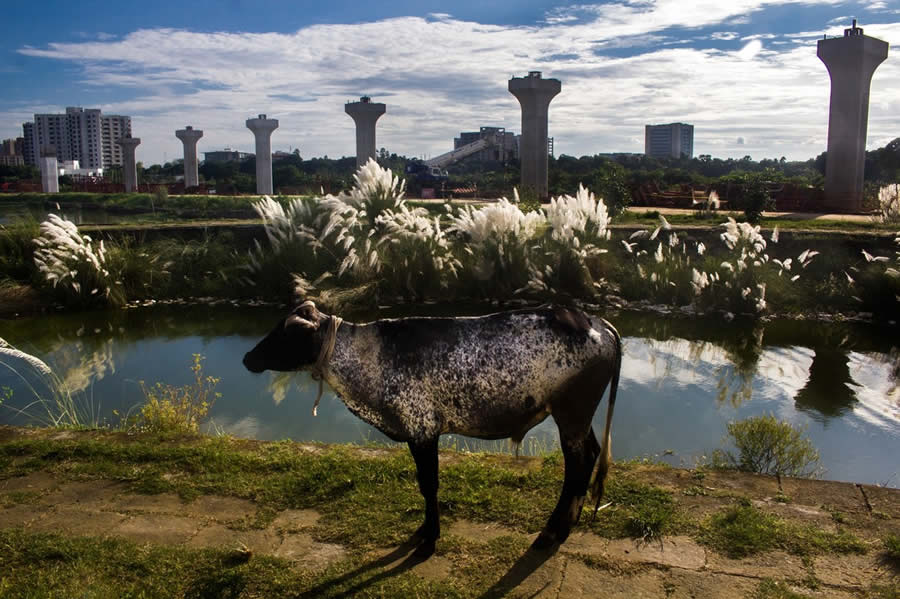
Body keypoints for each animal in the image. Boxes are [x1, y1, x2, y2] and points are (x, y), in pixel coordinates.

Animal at [241, 302, 620, 560]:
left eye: (284, 334)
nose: (247, 359)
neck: (367, 357)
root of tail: (595, 321)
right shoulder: (416, 434)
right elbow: (424, 485)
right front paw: (424, 530)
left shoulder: (422, 430)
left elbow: (429, 484)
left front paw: (430, 539)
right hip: (576, 418)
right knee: (590, 454)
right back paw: (564, 526)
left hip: (571, 414)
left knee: (577, 466)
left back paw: (552, 531)